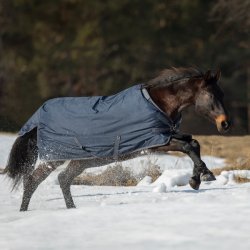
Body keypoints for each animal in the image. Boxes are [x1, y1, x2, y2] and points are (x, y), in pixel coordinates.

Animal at [3, 67, 230, 211]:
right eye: (211, 95)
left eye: (222, 94)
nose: (225, 124)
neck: (159, 104)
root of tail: (36, 122)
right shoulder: (155, 141)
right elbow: (187, 146)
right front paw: (203, 177)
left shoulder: (165, 135)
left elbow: (193, 142)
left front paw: (198, 178)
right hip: (56, 157)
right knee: (33, 180)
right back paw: (25, 212)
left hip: (80, 162)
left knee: (61, 179)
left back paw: (71, 209)